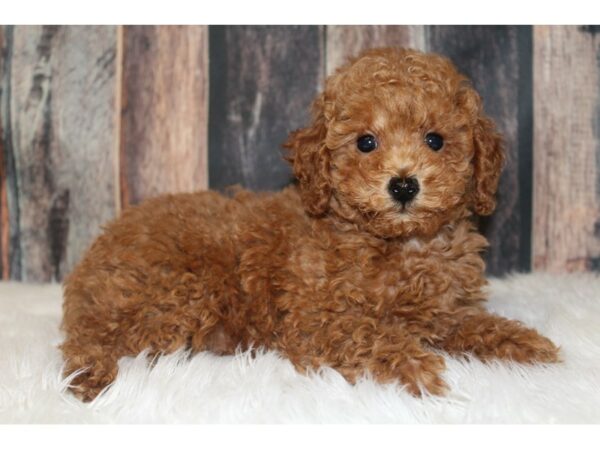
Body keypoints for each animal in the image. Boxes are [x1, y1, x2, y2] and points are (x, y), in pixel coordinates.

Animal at [61, 48, 556, 400]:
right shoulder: (314, 320)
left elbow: (470, 323)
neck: (400, 245)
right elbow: (367, 332)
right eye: (365, 142)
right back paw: (90, 371)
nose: (403, 185)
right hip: (173, 294)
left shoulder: (444, 310)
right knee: (91, 338)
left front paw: (522, 342)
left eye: (434, 140)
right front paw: (413, 365)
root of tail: (99, 246)